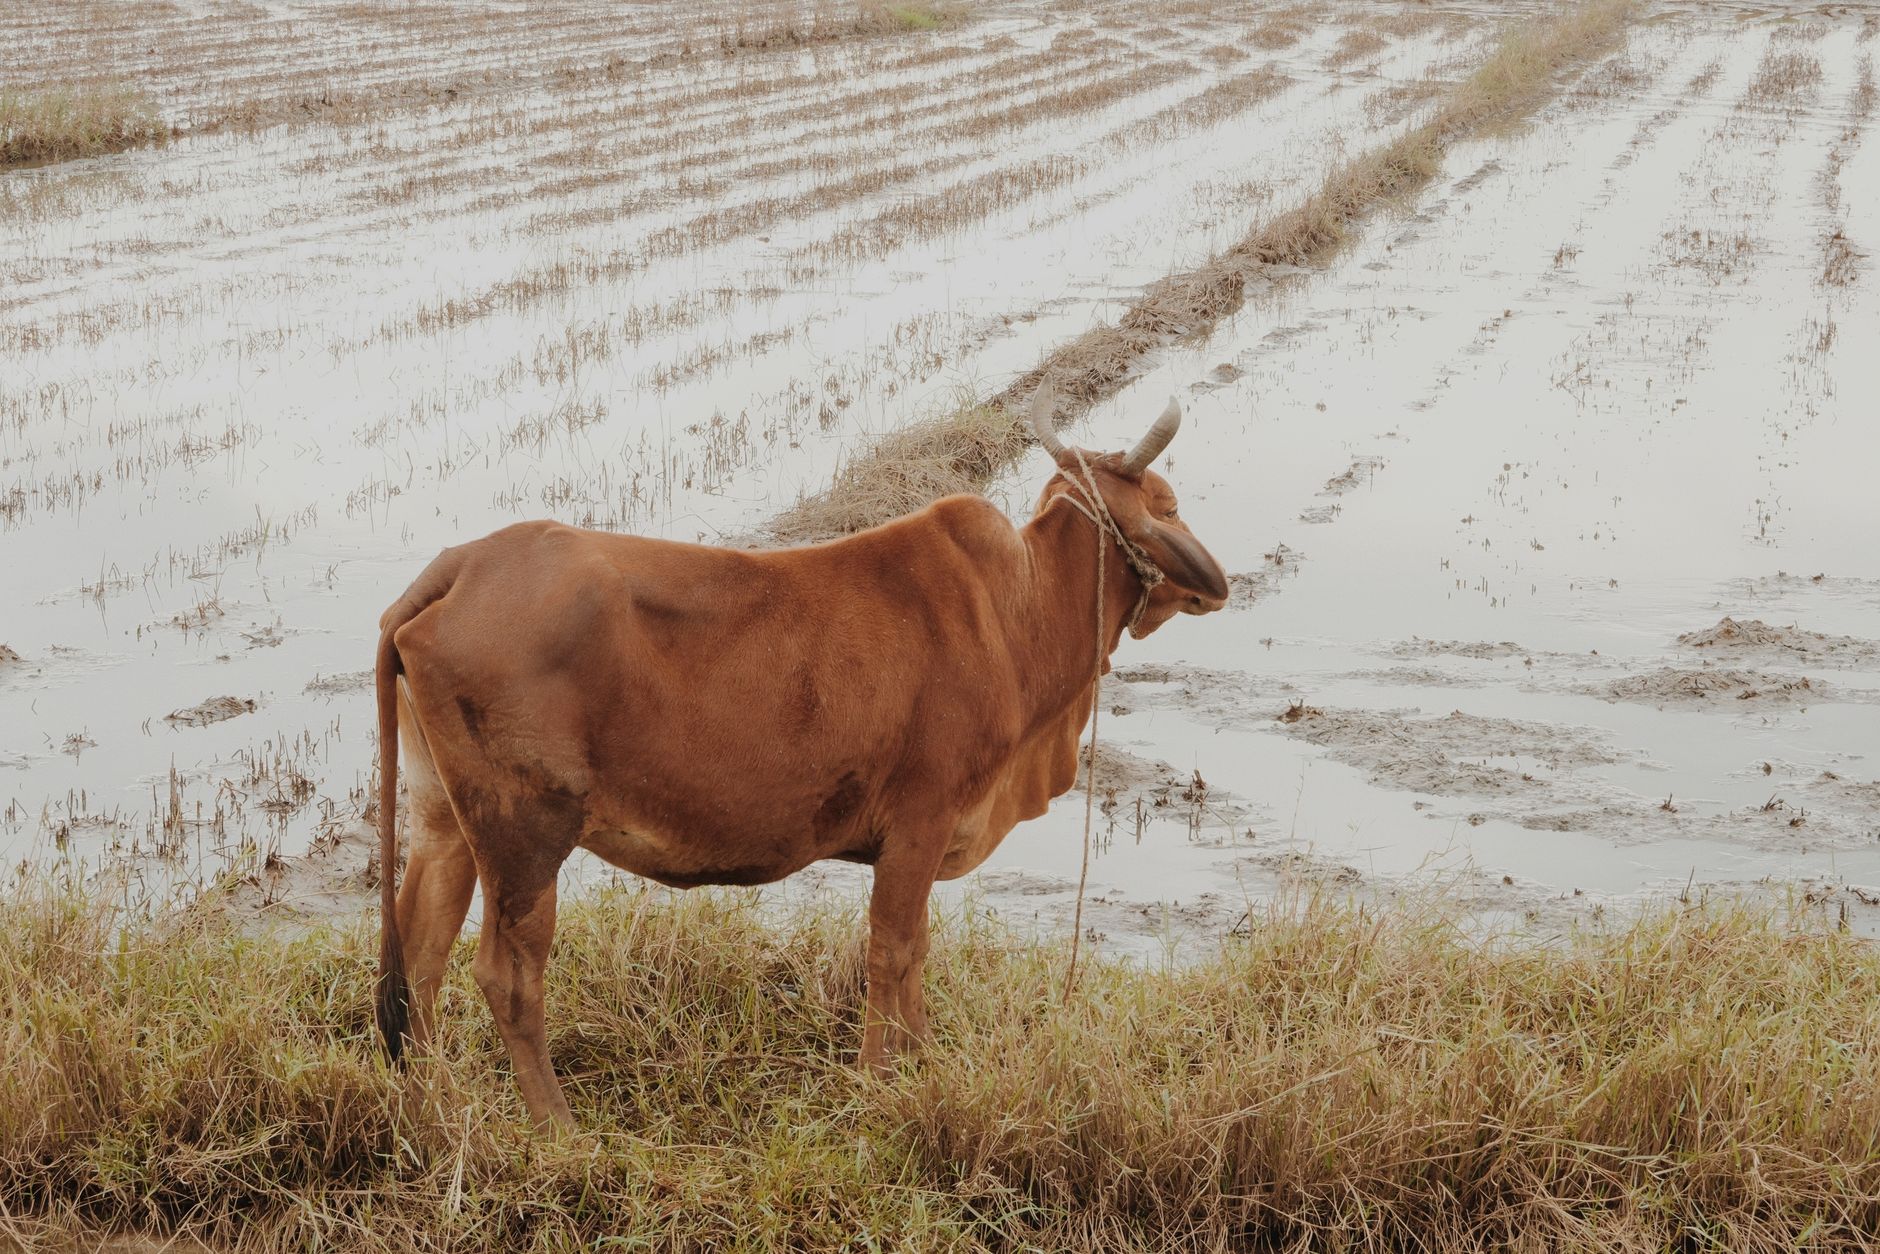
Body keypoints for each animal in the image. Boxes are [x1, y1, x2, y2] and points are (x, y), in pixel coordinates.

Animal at [372, 390, 1228, 1128]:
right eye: (1168, 505)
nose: (1218, 583)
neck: (1014, 613)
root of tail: (460, 568)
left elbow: (915, 952)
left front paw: (922, 1057)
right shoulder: (920, 823)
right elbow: (891, 951)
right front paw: (881, 1078)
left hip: (444, 818)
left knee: (421, 955)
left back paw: (433, 1100)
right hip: (525, 834)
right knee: (506, 975)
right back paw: (556, 1125)